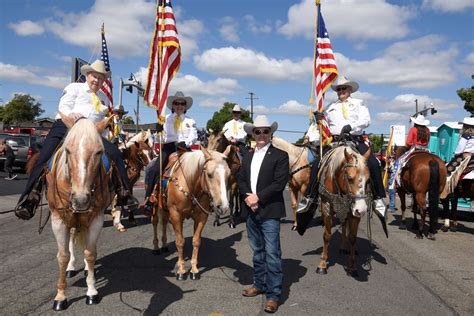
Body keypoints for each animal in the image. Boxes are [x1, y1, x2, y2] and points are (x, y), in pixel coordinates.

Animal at [46, 114, 113, 312]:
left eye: (99, 151)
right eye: (67, 150)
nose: (81, 199)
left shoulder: (96, 219)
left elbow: (90, 253)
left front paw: (91, 291)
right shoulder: (58, 220)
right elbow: (62, 256)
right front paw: (60, 296)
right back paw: (71, 267)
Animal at [149, 148, 229, 278]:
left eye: (228, 174)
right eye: (209, 174)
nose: (223, 206)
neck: (190, 186)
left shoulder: (201, 216)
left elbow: (196, 241)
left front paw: (194, 269)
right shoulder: (176, 215)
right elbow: (180, 242)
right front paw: (181, 270)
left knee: (164, 222)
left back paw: (164, 245)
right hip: (155, 206)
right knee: (155, 222)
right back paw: (156, 247)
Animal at [316, 146, 372, 276]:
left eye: (368, 180)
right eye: (350, 178)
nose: (362, 210)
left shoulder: (353, 212)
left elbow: (352, 237)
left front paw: (352, 266)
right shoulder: (326, 206)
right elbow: (327, 235)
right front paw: (322, 263)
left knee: (345, 225)